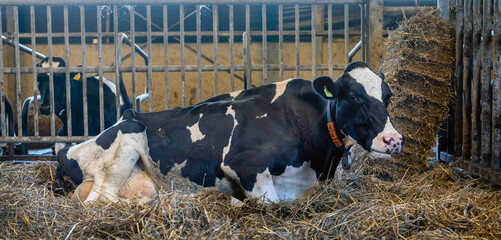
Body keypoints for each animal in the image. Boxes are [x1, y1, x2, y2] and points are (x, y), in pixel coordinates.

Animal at [53, 61, 402, 202]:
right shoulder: (243, 165)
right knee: (98, 202)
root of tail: (63, 151)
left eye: (388, 97)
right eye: (354, 97)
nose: (393, 140)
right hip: (125, 140)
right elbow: (272, 203)